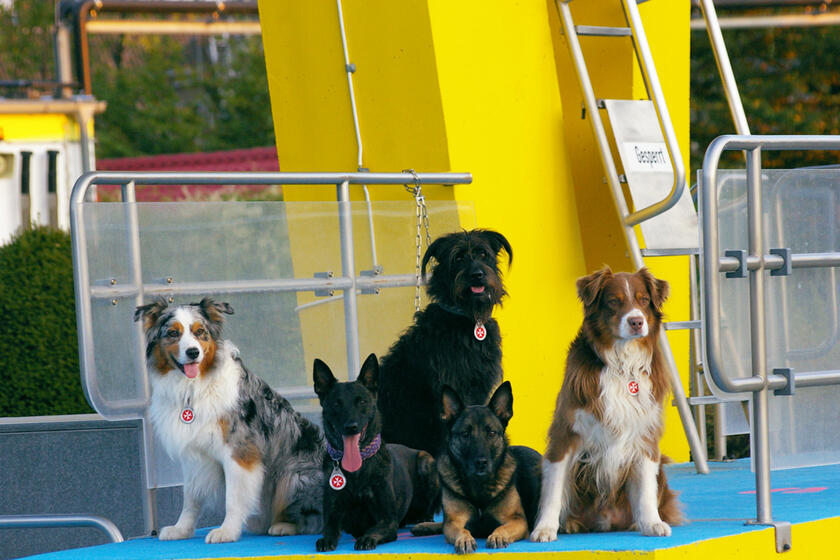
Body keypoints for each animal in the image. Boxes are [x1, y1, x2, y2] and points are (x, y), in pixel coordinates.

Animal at [310, 354, 440, 552]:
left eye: (362, 401)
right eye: (336, 404)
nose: (351, 426)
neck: (357, 471)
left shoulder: (388, 520)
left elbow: (375, 529)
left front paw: (367, 538)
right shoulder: (333, 513)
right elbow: (330, 528)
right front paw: (326, 540)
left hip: (426, 461)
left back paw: (425, 519)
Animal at [410, 382, 540, 552]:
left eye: (491, 433)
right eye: (465, 434)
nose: (481, 462)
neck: (479, 486)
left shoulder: (517, 520)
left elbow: (501, 527)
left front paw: (497, 536)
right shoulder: (454, 522)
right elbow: (460, 529)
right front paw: (464, 539)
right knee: (443, 523)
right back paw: (425, 526)